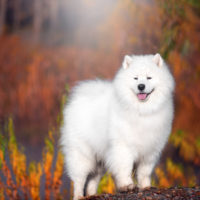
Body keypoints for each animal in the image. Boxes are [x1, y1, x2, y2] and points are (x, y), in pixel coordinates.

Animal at [60, 53, 174, 200]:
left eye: (149, 77)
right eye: (135, 78)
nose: (141, 86)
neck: (141, 111)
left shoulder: (150, 150)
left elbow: (144, 172)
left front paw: (146, 186)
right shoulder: (123, 147)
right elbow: (125, 168)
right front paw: (127, 185)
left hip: (99, 159)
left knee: (93, 179)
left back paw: (92, 194)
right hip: (82, 154)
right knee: (79, 179)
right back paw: (79, 195)